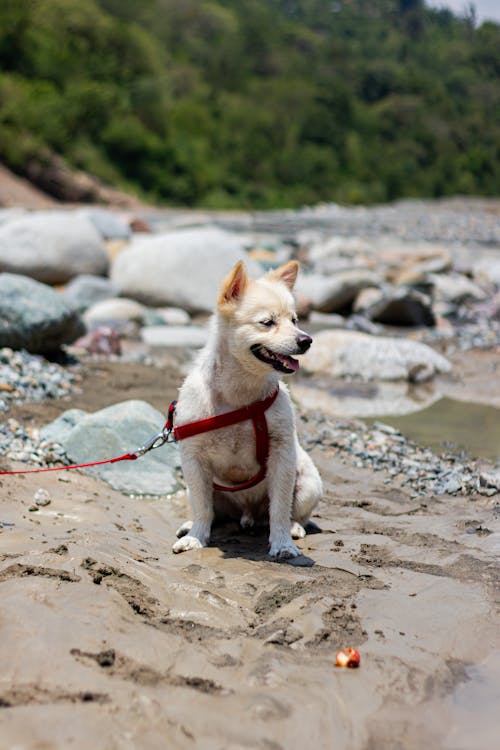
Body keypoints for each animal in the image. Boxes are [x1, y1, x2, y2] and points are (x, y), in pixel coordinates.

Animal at [171, 258, 320, 560]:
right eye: (267, 322)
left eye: (295, 321)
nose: (306, 340)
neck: (239, 396)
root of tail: (247, 513)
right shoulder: (192, 458)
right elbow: (203, 507)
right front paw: (196, 538)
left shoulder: (282, 456)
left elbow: (280, 509)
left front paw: (282, 544)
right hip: (200, 487)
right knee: (211, 510)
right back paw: (193, 525)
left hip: (309, 484)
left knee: (295, 513)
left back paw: (295, 528)